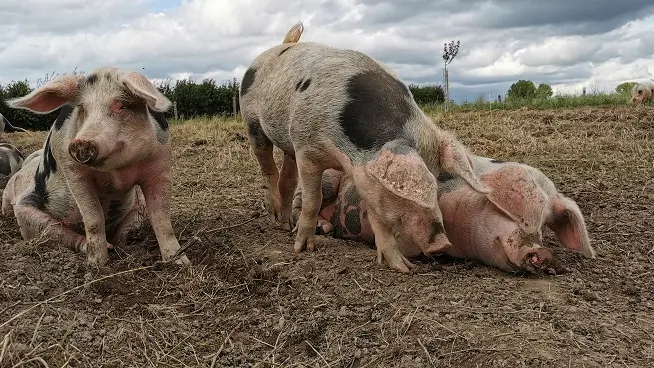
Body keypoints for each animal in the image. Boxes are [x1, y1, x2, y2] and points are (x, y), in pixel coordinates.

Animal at [1, 67, 192, 266]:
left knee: (128, 228)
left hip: (139, 207)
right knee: (58, 231)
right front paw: (97, 264)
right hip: (26, 211)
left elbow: (162, 218)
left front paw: (181, 262)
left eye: (122, 106)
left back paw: (121, 247)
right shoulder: (74, 173)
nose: (81, 142)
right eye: (83, 109)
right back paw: (106, 247)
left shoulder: (160, 165)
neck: (117, 172)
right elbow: (93, 217)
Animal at [238, 22, 490, 274]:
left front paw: (403, 267)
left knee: (287, 179)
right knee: (268, 169)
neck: (342, 153)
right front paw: (303, 249)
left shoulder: (366, 177)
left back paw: (285, 224)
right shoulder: (306, 149)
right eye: (404, 192)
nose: (442, 243)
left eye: (437, 184)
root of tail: (282, 46)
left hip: (286, 143)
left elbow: (378, 219)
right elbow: (313, 200)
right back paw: (275, 219)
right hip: (252, 122)